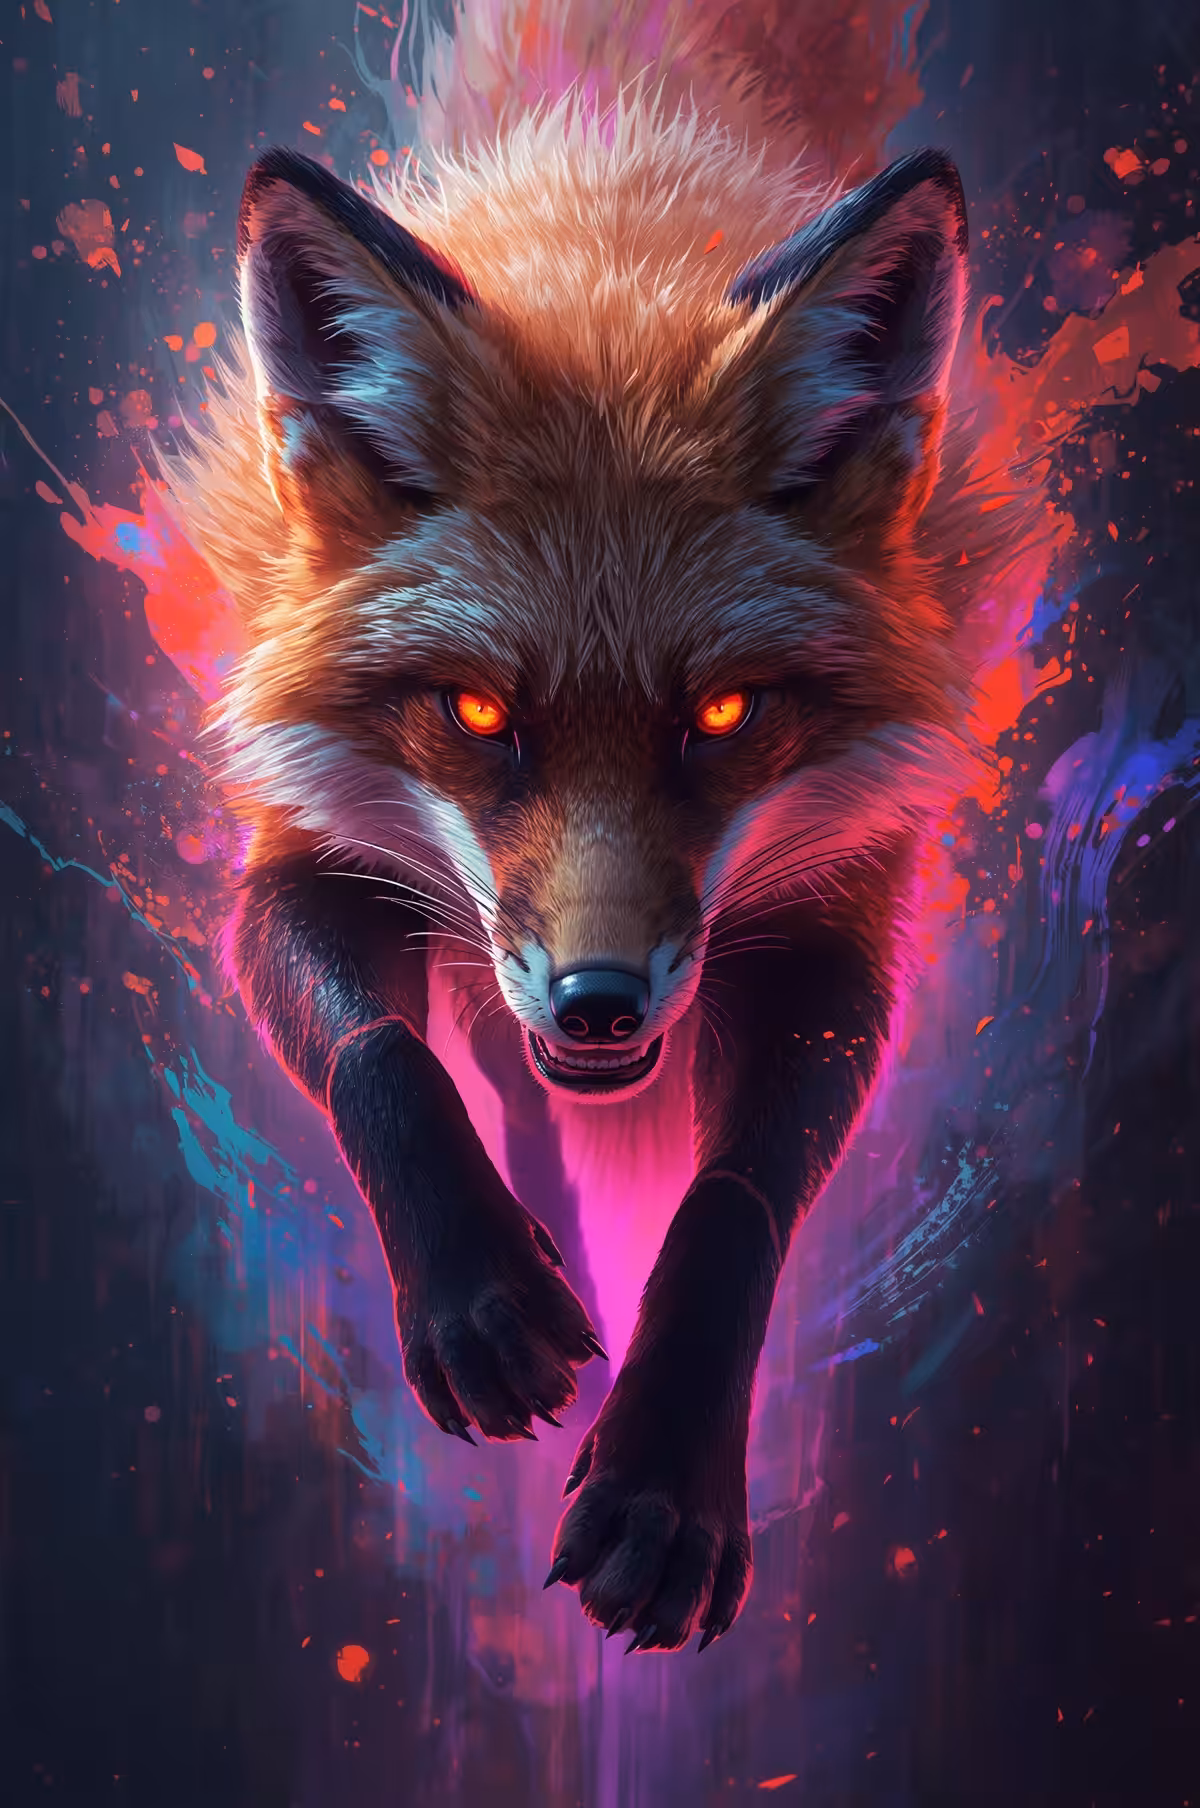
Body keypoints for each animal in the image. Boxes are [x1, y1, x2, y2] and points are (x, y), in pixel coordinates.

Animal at [167, 0, 1019, 1653]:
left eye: (728, 717)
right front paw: (478, 1293)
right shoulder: (301, 839)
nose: (602, 1002)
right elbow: (381, 1058)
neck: (612, 230)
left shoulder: (840, 904)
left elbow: (734, 1206)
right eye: (477, 714)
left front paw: (665, 1480)